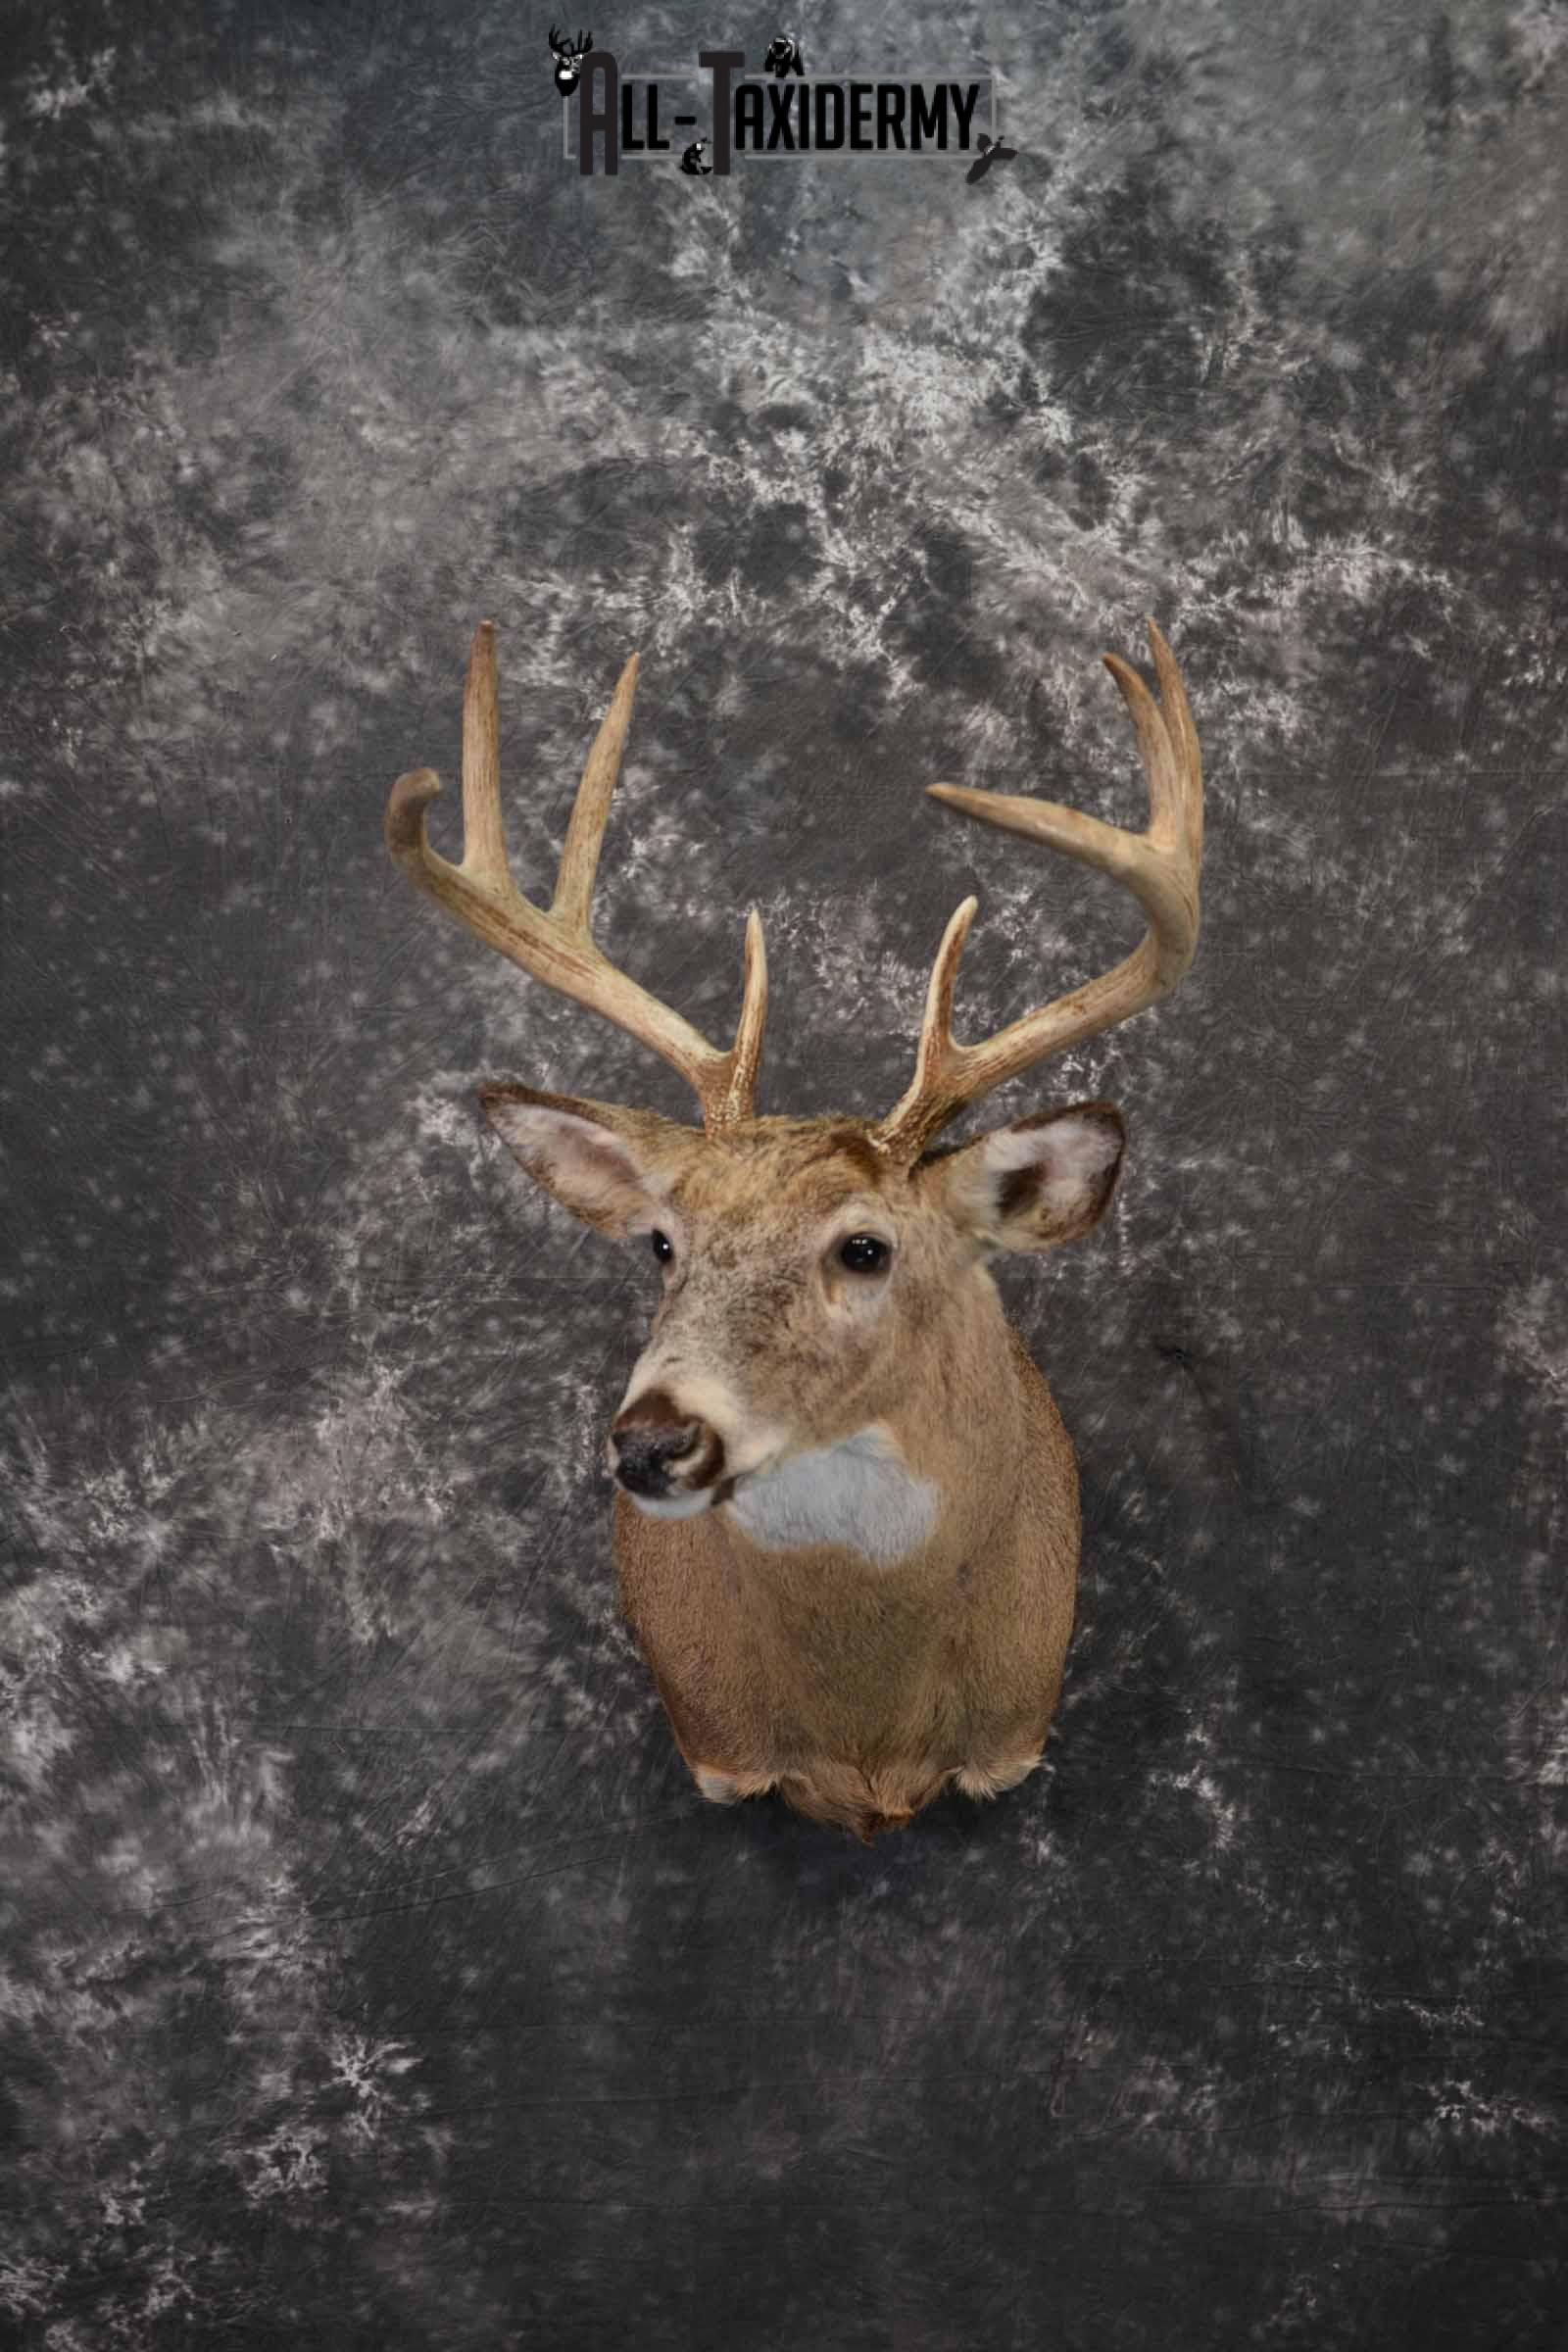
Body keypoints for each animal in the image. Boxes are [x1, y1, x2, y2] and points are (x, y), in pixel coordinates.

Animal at [386, 618, 1202, 1841]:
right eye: (662, 1244)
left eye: (864, 1247)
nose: (653, 1442)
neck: (866, 1747)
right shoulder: (718, 1753)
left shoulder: (1013, 1738)